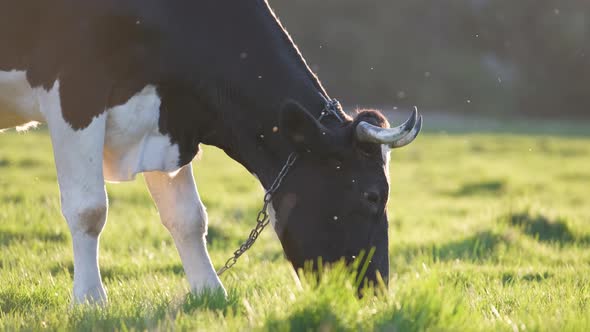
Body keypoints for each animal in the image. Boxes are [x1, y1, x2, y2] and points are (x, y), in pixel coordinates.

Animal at [2, 0, 424, 304]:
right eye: (372, 195)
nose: (376, 292)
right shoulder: (75, 89)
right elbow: (89, 210)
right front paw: (90, 300)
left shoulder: (163, 119)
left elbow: (188, 217)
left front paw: (210, 293)